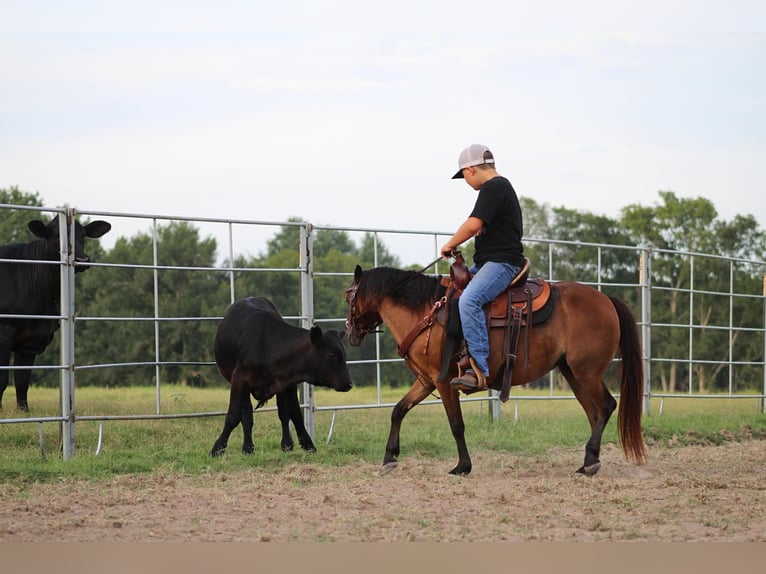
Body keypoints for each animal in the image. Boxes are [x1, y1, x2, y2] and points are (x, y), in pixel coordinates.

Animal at [0, 214, 112, 412]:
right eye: (55, 236)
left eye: (83, 235)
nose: (82, 259)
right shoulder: (4, 332)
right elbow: (2, 381)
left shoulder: (30, 341)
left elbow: (22, 381)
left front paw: (24, 412)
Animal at [210, 296, 354, 460]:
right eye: (332, 354)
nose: (348, 384)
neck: (267, 345)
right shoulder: (239, 378)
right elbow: (233, 415)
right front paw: (218, 448)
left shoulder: (289, 383)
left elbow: (295, 413)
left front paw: (308, 445)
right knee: (246, 414)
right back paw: (248, 447)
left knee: (282, 414)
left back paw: (285, 444)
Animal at [346, 264, 648, 476]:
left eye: (349, 296)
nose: (350, 334)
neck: (426, 313)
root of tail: (606, 300)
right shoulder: (427, 380)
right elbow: (398, 410)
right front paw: (389, 458)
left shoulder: (445, 382)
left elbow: (456, 424)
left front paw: (462, 466)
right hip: (574, 374)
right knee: (594, 412)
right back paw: (588, 462)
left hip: (587, 372)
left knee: (607, 406)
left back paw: (591, 461)